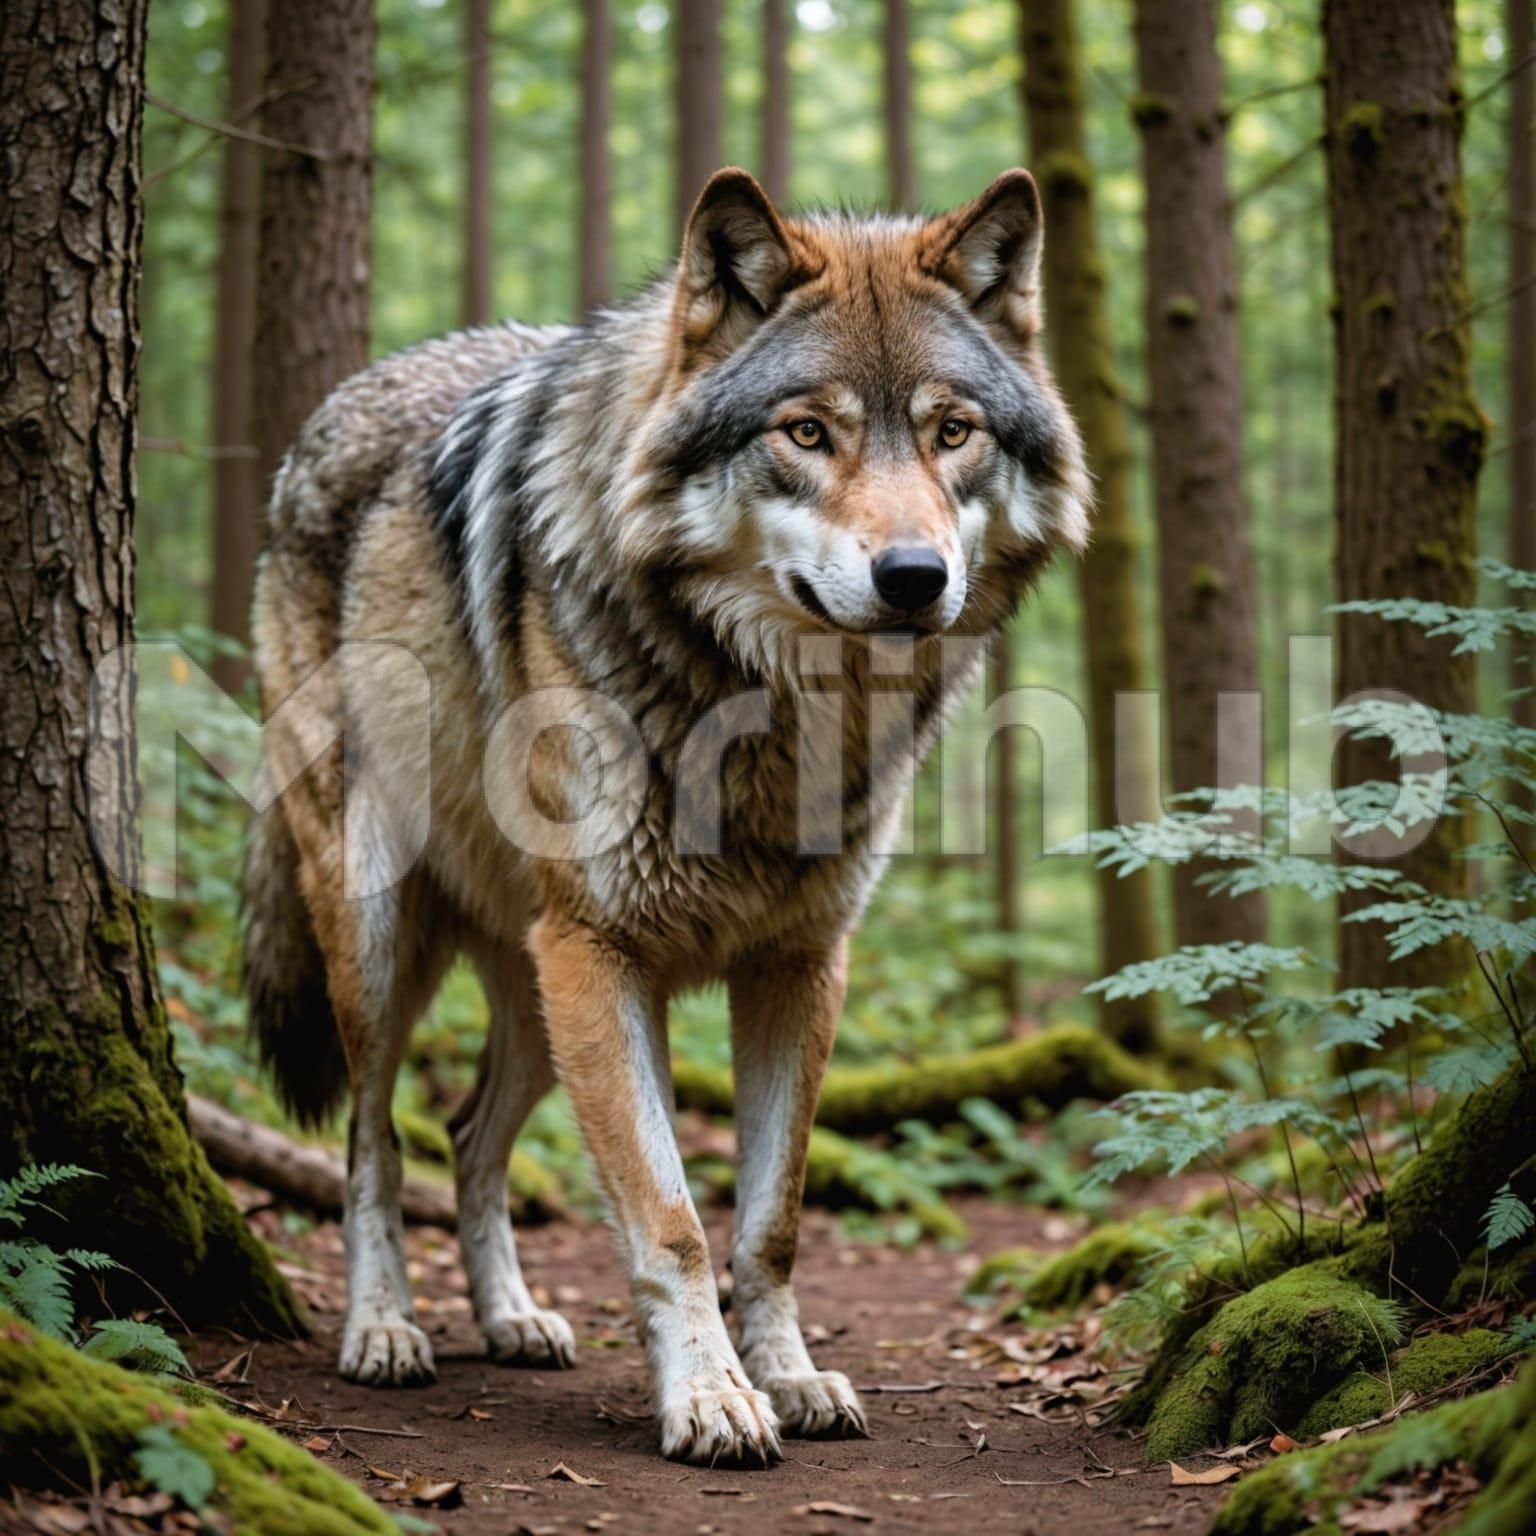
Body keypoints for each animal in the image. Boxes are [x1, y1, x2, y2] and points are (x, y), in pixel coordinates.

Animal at [243, 167, 1088, 1465]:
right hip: (390, 946)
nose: (914, 579)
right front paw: (711, 1398)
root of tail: (331, 411)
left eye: (954, 432)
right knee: (375, 1140)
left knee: (469, 1135)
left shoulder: (797, 964)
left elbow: (770, 1222)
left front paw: (788, 1378)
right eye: (807, 432)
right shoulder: (604, 954)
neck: (771, 720)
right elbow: (673, 1221)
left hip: (536, 988)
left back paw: (513, 1319)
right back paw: (384, 1331)